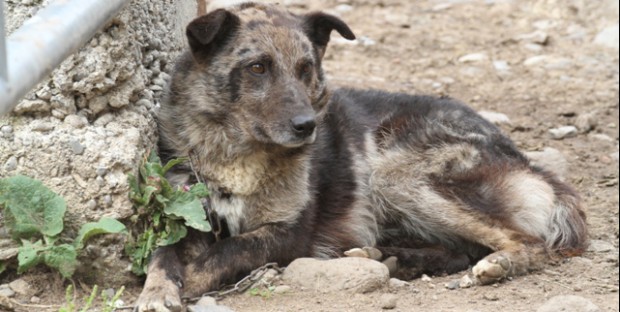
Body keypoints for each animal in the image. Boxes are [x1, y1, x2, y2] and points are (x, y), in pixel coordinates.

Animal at [133, 1, 588, 310]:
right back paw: (390, 258)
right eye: (258, 67)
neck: (236, 152)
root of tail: (527, 161)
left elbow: (225, 252)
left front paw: (187, 282)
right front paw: (157, 289)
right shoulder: (186, 218)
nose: (307, 126)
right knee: (462, 249)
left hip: (395, 174)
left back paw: (499, 264)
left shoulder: (286, 234)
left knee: (527, 241)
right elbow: (162, 255)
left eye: (305, 68)